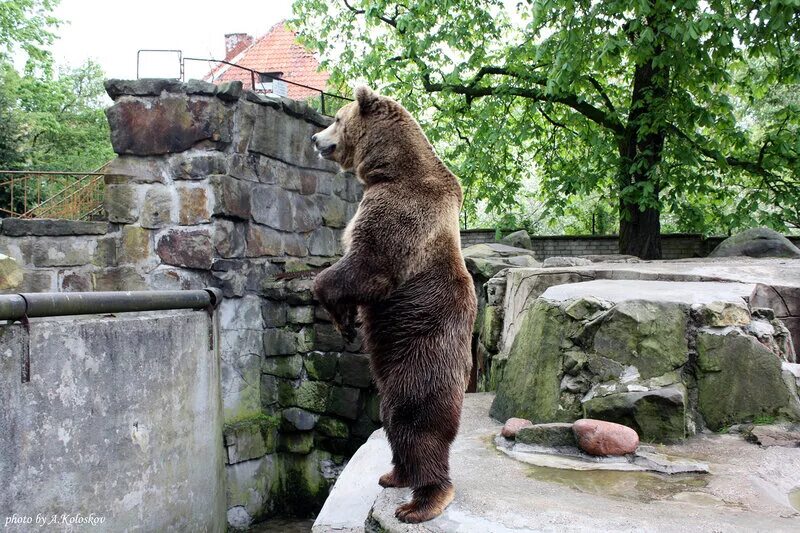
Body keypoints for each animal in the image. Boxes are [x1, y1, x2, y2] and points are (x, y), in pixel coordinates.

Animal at [310, 87, 476, 524]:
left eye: (336, 118)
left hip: (421, 362)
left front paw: (339, 313)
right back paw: (393, 475)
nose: (314, 138)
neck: (389, 168)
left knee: (415, 425)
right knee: (391, 424)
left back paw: (421, 502)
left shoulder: (401, 210)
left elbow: (368, 266)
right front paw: (346, 321)